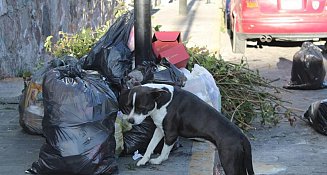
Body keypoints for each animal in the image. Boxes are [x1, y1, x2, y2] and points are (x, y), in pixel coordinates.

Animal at [119, 84, 255, 174]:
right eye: (129, 106)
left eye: (142, 108)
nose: (130, 120)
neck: (161, 100)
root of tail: (242, 137)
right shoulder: (159, 129)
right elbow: (150, 146)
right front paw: (144, 160)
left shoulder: (170, 134)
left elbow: (164, 151)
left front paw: (158, 161)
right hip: (239, 162)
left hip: (229, 161)